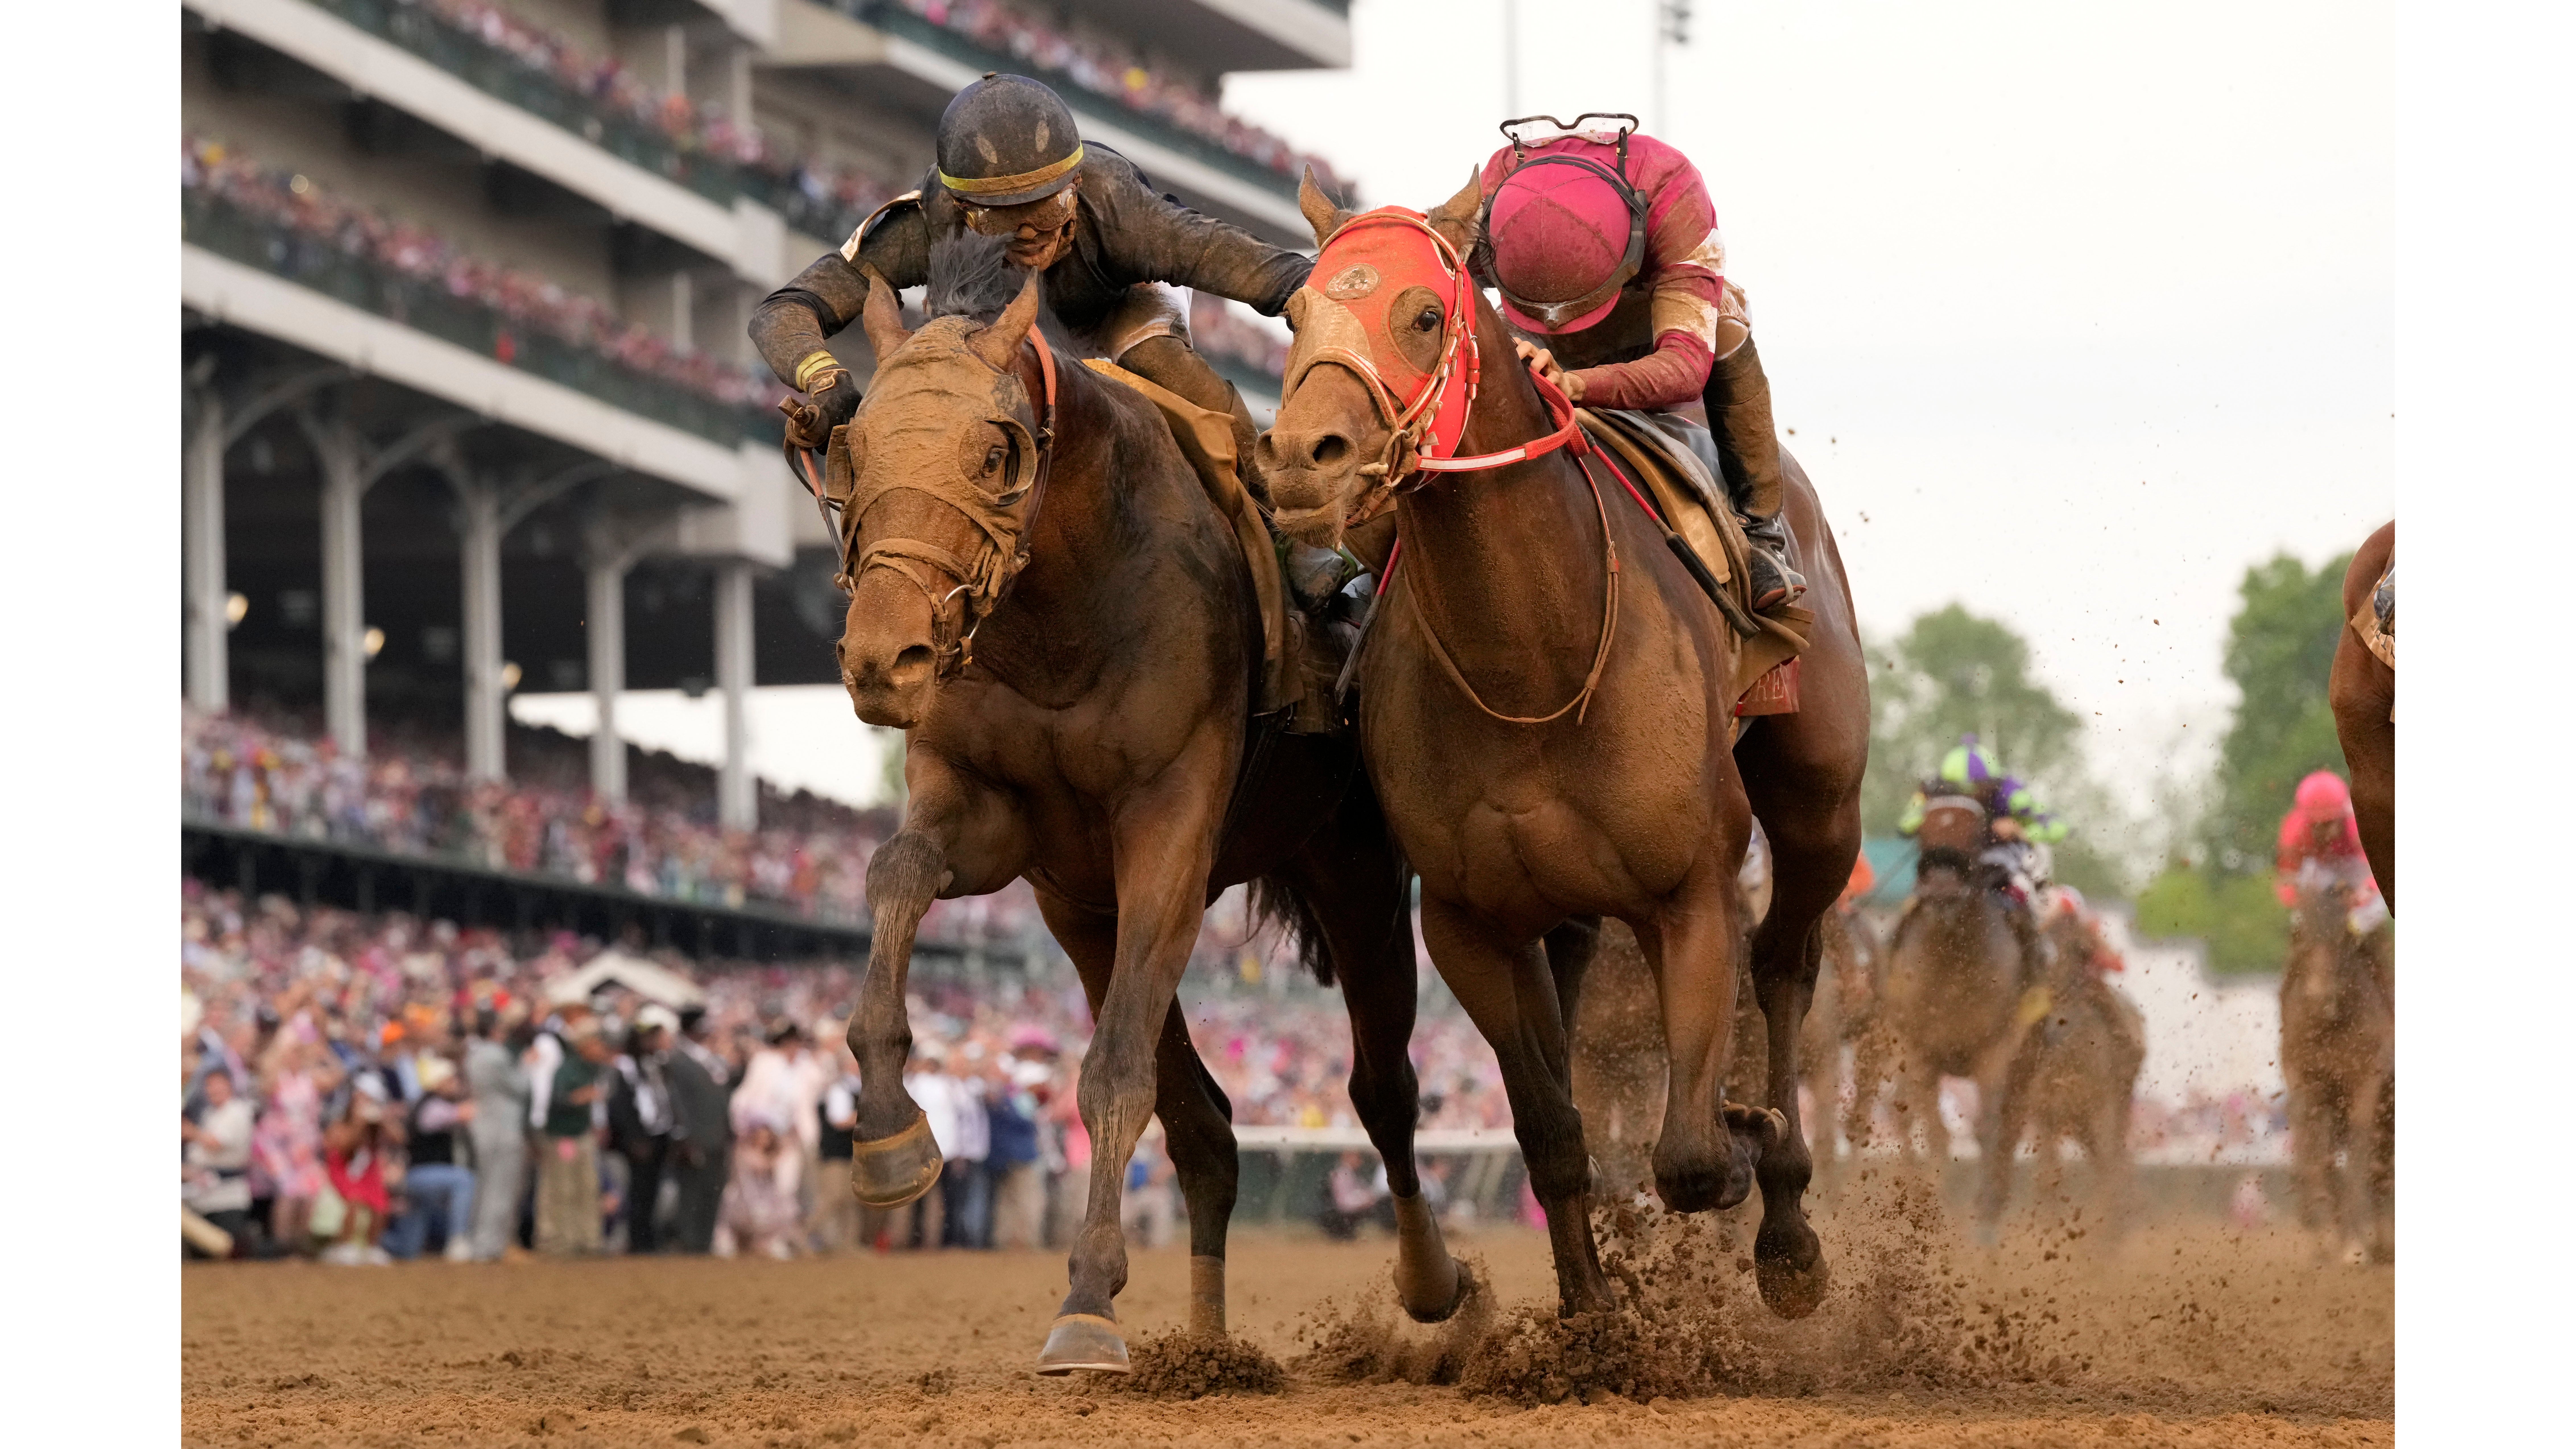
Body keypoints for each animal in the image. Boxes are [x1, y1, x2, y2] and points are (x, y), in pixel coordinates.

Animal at [824, 253, 1466, 1374]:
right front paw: (890, 1133)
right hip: (1084, 919)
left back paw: (1431, 1281)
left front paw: (1086, 1304)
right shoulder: (994, 818)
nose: (882, 658)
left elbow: (1114, 1071)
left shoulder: (1170, 828)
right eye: (853, 448)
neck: (1062, 618)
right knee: (1206, 1124)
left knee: (1384, 1090)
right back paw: (1206, 1349)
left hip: (1359, 881)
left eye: (992, 452)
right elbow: (896, 874)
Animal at [1256, 173, 1870, 1320]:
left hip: (1820, 806)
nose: (1301, 461)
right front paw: (1589, 1319)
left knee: (1784, 964)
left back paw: (1787, 1223)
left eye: (1422, 314)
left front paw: (1741, 1142)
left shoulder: (1690, 890)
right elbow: (1551, 1132)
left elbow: (1690, 1156)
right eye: (1294, 313)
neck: (1529, 659)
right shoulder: (1467, 924)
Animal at [2279, 879, 2395, 1264]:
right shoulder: (2308, 1082)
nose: (2318, 999)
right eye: (2299, 933)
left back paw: (2382, 1242)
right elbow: (2318, 1150)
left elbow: (2360, 1150)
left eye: (2343, 936)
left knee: (2381, 1164)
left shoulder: (2367, 1081)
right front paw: (2322, 1238)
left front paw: (2354, 1246)